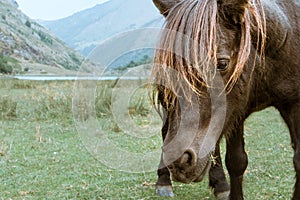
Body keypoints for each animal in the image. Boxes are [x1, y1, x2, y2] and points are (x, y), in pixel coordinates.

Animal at [152, 0, 300, 199]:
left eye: (222, 63)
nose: (179, 161)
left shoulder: (292, 104)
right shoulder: (237, 110)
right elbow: (236, 162)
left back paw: (220, 185)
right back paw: (164, 181)